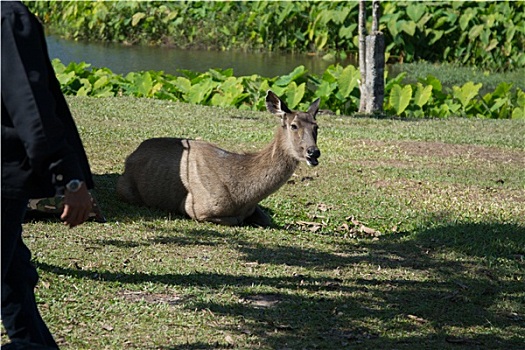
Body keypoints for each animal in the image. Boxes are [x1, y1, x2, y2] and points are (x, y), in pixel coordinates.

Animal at [115, 90, 320, 227]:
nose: (313, 152)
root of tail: (131, 156)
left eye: (316, 126)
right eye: (294, 125)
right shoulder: (195, 207)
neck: (244, 196)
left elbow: (267, 219)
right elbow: (235, 220)